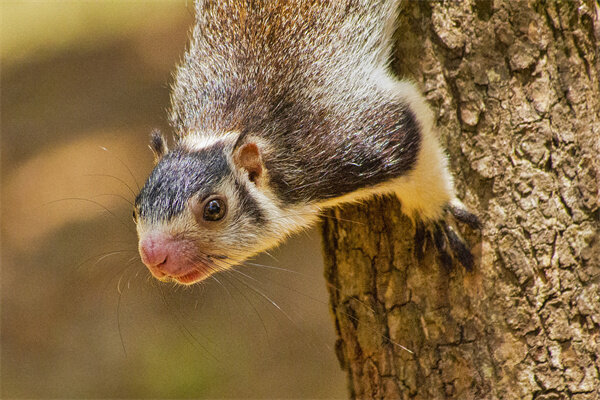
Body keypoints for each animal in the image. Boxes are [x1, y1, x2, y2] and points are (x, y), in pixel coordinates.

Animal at [134, 0, 480, 288]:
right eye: (136, 207)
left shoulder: (352, 138)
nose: (153, 257)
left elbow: (409, 133)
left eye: (214, 209)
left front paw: (435, 212)